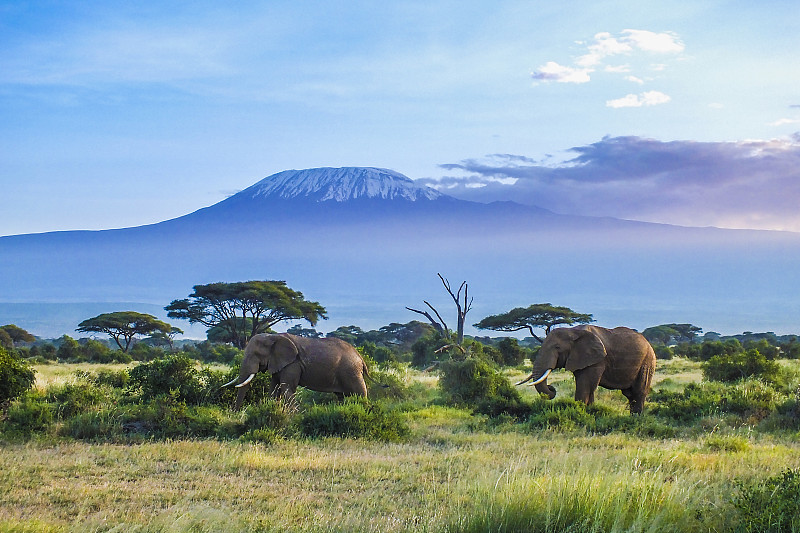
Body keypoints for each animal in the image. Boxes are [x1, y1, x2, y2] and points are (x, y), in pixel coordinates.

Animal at [220, 332, 368, 408]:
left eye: (256, 354)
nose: (235, 413)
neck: (273, 336)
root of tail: (360, 356)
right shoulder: (279, 363)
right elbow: (274, 389)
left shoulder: (292, 364)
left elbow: (287, 389)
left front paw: (293, 418)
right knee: (342, 396)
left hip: (351, 371)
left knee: (360, 393)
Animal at [520, 322, 656, 414]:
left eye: (557, 347)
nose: (551, 387)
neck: (573, 331)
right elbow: (587, 387)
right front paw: (589, 412)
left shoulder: (597, 360)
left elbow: (585, 386)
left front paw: (579, 413)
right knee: (629, 394)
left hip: (647, 363)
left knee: (639, 392)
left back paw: (636, 418)